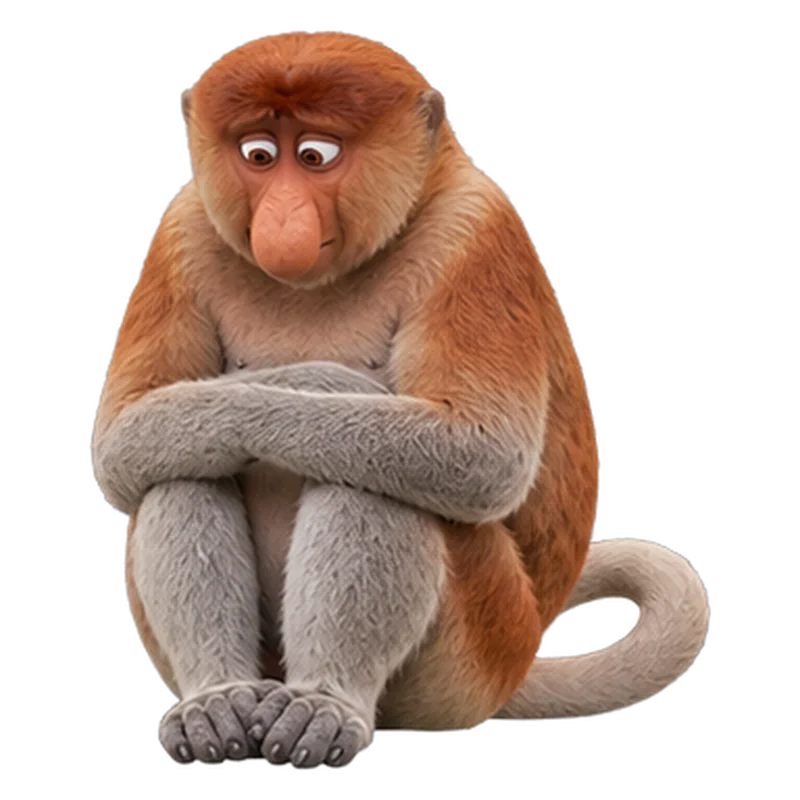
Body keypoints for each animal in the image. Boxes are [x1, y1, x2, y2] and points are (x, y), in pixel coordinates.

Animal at [90, 31, 711, 769]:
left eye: (315, 156)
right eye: (259, 155)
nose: (281, 219)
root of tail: (524, 647)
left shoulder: (476, 238)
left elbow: (479, 453)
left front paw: (305, 380)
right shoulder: (180, 234)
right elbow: (125, 437)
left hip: (478, 646)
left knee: (379, 475)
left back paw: (323, 709)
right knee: (178, 469)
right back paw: (220, 705)